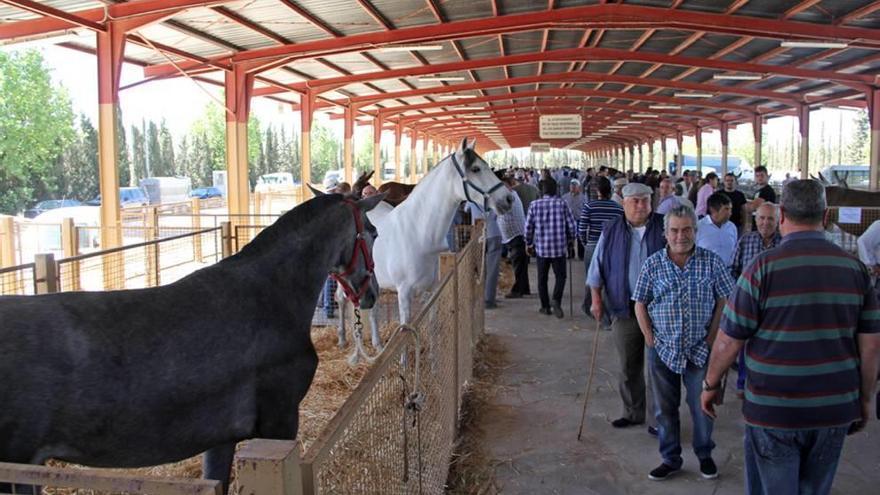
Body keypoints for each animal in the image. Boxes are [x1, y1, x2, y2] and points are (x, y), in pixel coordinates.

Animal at [336, 138, 516, 362]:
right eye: (475, 168)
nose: (508, 199)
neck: (419, 233)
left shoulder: (432, 290)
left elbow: (432, 327)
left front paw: (432, 360)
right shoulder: (404, 293)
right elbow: (405, 332)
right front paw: (404, 365)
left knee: (373, 308)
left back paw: (377, 345)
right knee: (341, 299)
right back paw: (343, 340)